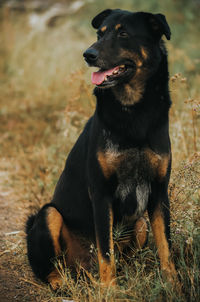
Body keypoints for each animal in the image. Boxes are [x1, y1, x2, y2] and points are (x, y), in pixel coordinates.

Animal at [25, 8, 177, 290]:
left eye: (123, 33)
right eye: (99, 33)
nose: (88, 54)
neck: (133, 111)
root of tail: (82, 269)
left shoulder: (159, 192)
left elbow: (165, 246)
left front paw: (173, 284)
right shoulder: (101, 193)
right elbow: (106, 252)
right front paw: (110, 290)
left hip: (140, 224)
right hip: (48, 215)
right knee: (48, 267)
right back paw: (61, 282)